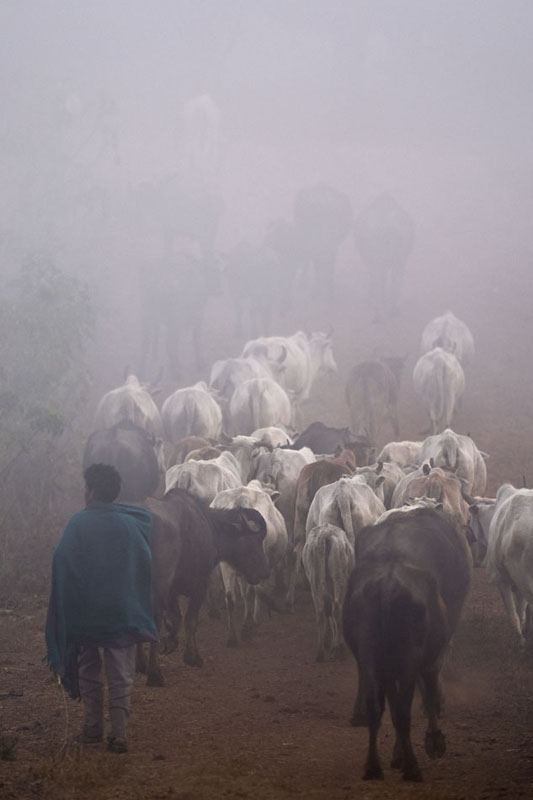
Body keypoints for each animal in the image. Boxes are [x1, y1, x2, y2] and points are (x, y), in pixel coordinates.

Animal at [210, 482, 288, 644]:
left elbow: (244, 594)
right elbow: (255, 592)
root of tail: (241, 499)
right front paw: (254, 620)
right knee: (253, 592)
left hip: (226, 565)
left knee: (230, 597)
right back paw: (249, 625)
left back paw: (232, 637)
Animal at [302, 520, 356, 660]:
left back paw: (320, 652)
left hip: (315, 579)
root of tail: (324, 536)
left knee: (321, 611)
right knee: (336, 609)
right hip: (338, 578)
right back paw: (339, 649)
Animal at [340, 506, 470, 780]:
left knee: (377, 704)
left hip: (370, 654)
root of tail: (386, 585)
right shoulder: (431, 653)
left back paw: (373, 765)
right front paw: (433, 740)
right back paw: (411, 765)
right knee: (403, 707)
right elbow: (427, 689)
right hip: (409, 656)